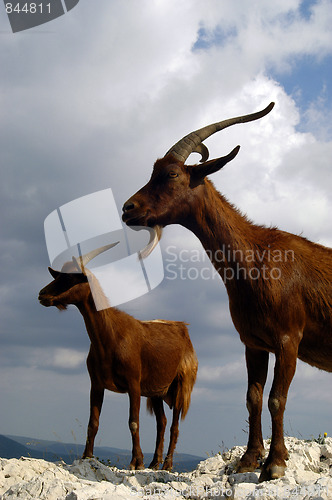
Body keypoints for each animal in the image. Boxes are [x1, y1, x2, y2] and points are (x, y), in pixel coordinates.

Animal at [38, 244, 197, 470]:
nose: (42, 294)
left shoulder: (134, 384)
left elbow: (133, 422)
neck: (110, 338)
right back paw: (154, 463)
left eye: (69, 277)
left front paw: (136, 462)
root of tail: (183, 328)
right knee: (162, 422)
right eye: (59, 275)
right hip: (156, 391)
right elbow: (93, 422)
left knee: (175, 424)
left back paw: (167, 464)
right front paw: (87, 456)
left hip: (182, 384)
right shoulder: (96, 383)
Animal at [122, 101, 332, 480]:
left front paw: (275, 464)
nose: (128, 209)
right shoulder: (253, 342)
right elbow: (253, 397)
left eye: (171, 175)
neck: (256, 258)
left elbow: (277, 397)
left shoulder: (289, 338)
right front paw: (249, 459)